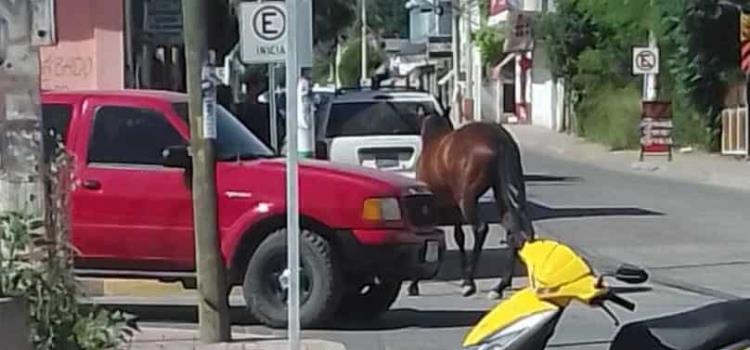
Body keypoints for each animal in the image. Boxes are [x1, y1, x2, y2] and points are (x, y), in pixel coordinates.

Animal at [412, 114, 536, 298]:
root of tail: (500, 139)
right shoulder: (454, 210)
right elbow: (459, 237)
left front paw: (414, 284)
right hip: (503, 194)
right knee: (516, 233)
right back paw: (499, 286)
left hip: (468, 198)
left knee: (481, 228)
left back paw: (470, 284)